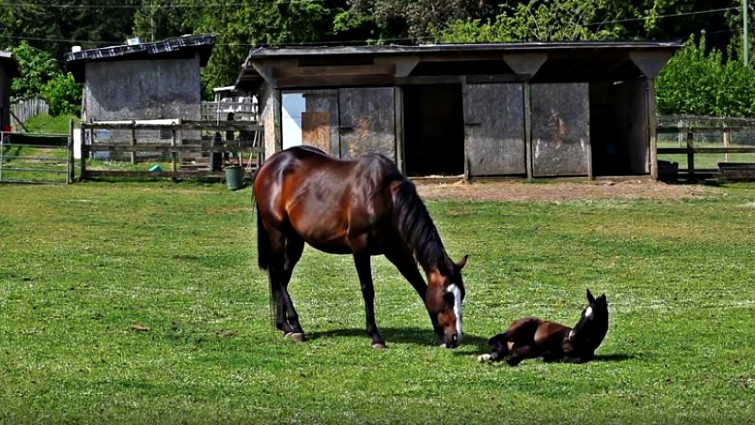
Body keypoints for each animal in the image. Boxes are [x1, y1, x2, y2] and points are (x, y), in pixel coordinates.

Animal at [253, 145, 468, 349]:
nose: (455, 337)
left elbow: (420, 285)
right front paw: (375, 336)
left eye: (461, 294)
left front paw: (439, 332)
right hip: (276, 231)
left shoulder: (397, 250)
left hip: (295, 238)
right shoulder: (360, 248)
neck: (387, 198)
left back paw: (284, 325)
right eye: (447, 296)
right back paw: (295, 326)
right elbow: (368, 289)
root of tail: (269, 165)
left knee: (283, 275)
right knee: (277, 272)